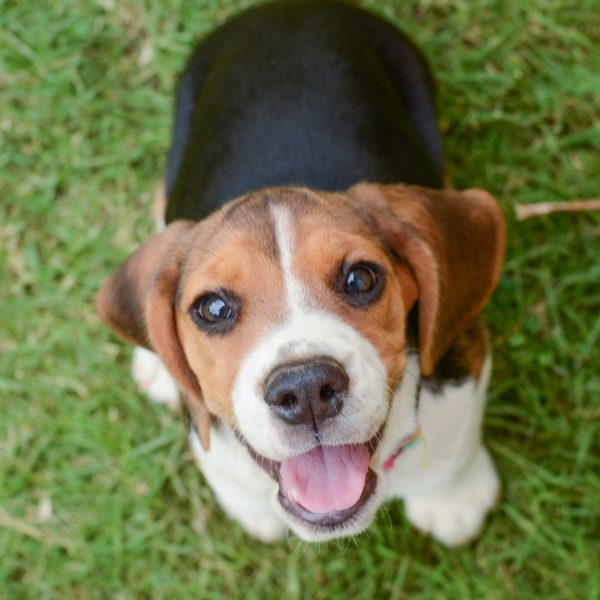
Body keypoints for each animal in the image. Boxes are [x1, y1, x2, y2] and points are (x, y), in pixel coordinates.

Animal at [97, 0, 506, 548]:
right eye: (213, 308)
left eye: (361, 279)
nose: (307, 389)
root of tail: (286, 9)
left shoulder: (462, 359)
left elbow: (453, 444)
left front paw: (452, 499)